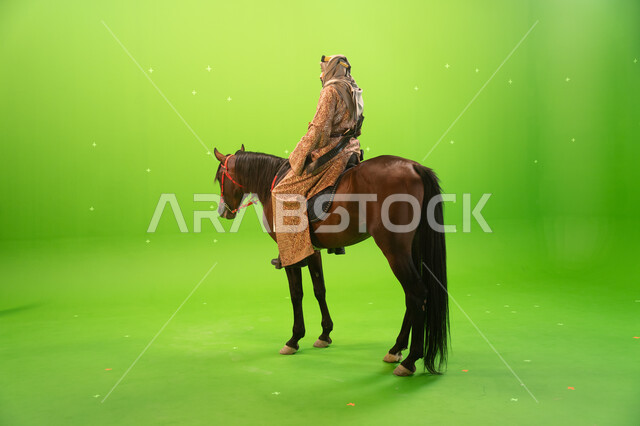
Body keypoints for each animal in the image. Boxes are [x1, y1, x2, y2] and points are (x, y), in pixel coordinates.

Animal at [213, 145, 449, 376]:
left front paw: (294, 339)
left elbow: (296, 293)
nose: (223, 212)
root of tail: (414, 167)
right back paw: (396, 349)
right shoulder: (312, 251)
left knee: (416, 293)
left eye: (219, 178)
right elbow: (319, 289)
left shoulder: (291, 252)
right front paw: (325, 334)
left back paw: (410, 360)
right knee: (412, 296)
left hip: (394, 250)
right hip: (411, 249)